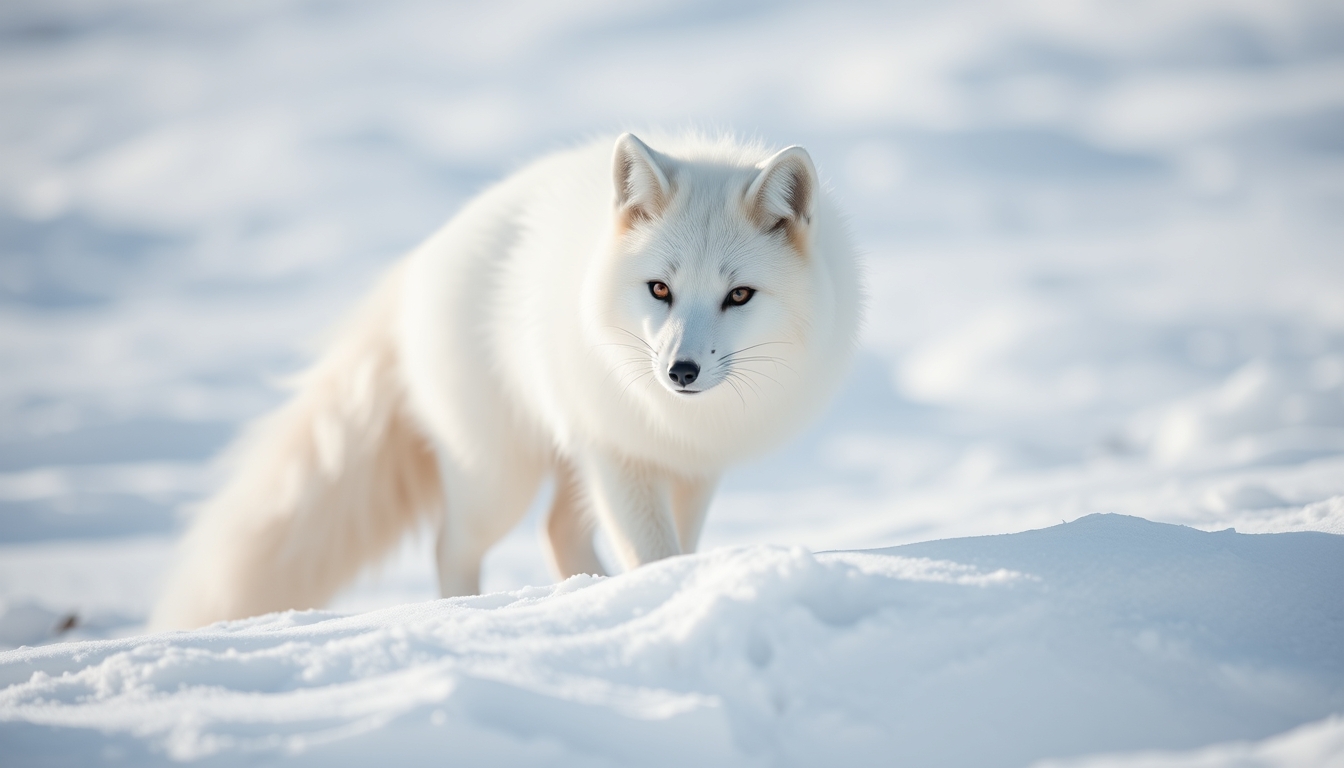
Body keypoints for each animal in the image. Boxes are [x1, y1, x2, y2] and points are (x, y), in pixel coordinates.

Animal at [150, 132, 862, 630]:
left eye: (739, 295)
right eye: (660, 289)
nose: (679, 371)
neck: (679, 421)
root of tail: (419, 262)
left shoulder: (692, 467)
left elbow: (679, 553)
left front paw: (674, 593)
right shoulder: (620, 455)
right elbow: (656, 554)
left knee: (556, 532)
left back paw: (587, 597)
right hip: (500, 477)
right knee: (452, 545)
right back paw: (466, 615)